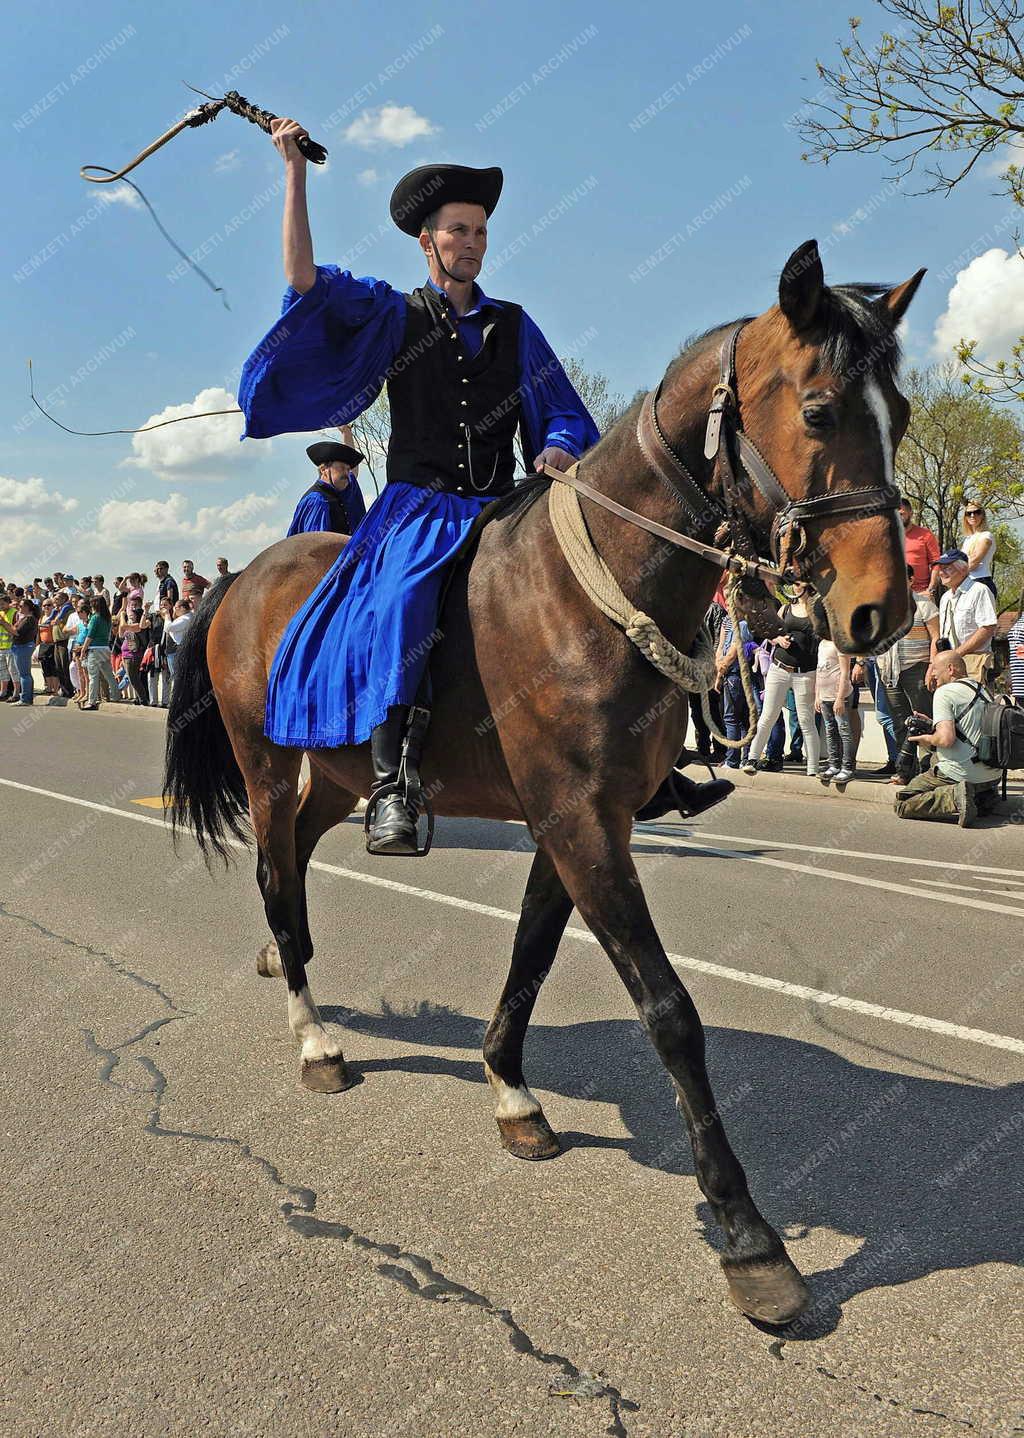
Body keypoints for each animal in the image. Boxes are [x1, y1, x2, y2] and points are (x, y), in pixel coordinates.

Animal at [163, 238, 926, 1322]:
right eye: (819, 410)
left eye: (896, 414)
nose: (880, 613)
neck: (589, 592)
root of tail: (241, 579)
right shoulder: (577, 823)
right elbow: (669, 1012)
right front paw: (747, 1235)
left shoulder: (575, 821)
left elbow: (528, 955)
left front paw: (512, 1093)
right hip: (266, 767)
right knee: (274, 873)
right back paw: (315, 1041)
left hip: (334, 778)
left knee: (296, 872)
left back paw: (290, 966)